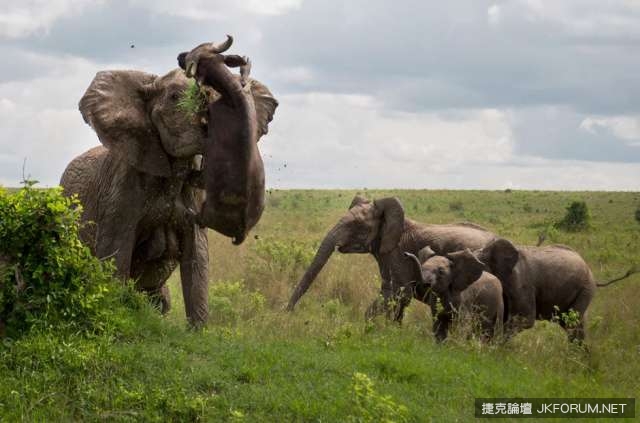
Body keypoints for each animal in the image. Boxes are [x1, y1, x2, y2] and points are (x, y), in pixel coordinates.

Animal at [60, 37, 278, 328]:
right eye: (175, 98)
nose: (186, 56)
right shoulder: (121, 188)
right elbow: (115, 253)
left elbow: (197, 259)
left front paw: (198, 332)